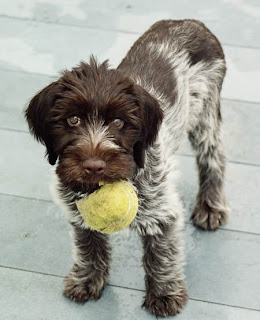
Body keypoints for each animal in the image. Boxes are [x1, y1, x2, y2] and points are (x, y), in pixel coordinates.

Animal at [24, 20, 228, 318]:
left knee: (213, 157)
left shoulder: (161, 210)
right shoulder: (76, 209)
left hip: (205, 111)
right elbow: (88, 245)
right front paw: (87, 280)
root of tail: (191, 22)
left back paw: (211, 206)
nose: (93, 166)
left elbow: (162, 254)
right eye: (72, 119)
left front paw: (164, 294)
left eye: (119, 122)